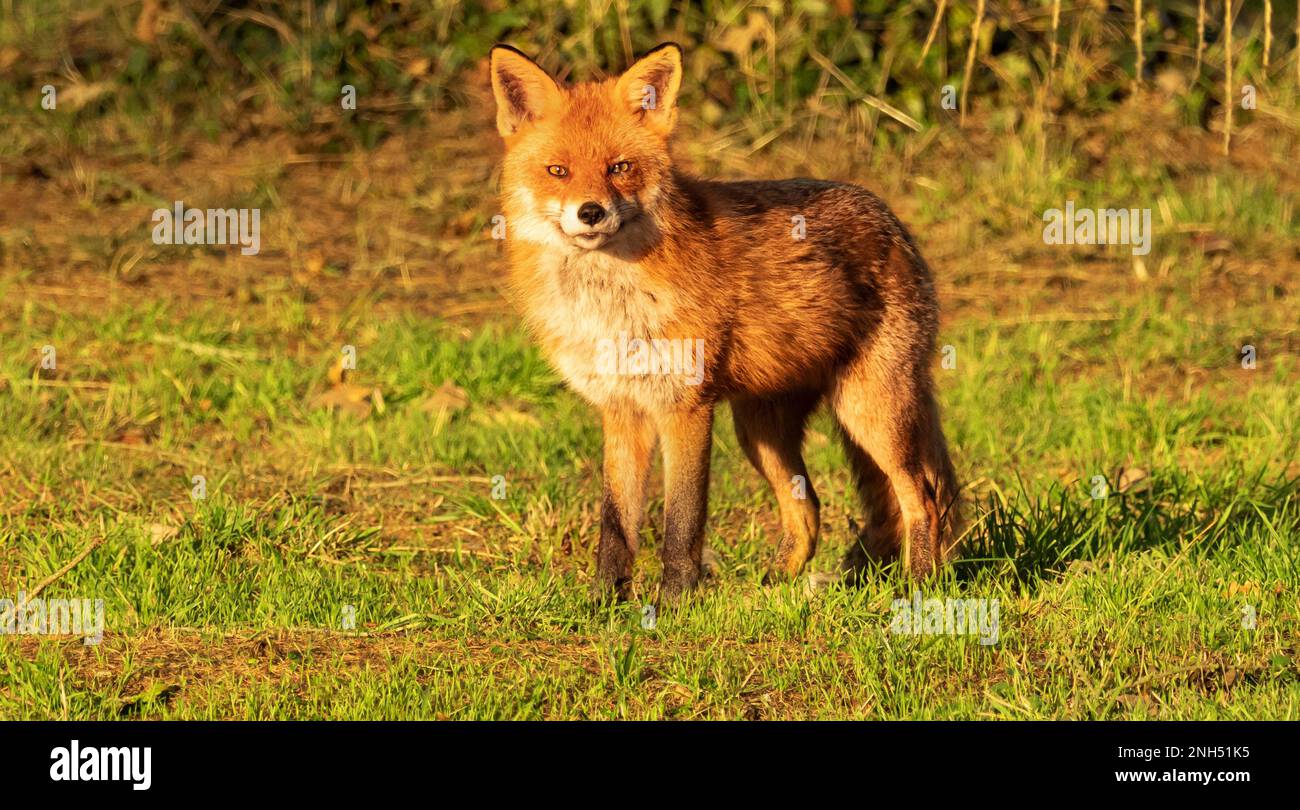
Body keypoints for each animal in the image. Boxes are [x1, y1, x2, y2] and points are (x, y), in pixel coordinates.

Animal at [491, 42, 961, 603]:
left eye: (620, 167)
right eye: (557, 170)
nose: (590, 212)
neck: (610, 302)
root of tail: (892, 219)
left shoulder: (685, 407)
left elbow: (681, 524)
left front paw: (672, 605)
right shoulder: (622, 410)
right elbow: (616, 525)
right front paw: (605, 602)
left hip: (871, 412)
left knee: (923, 498)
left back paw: (918, 590)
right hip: (761, 430)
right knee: (809, 509)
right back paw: (771, 593)